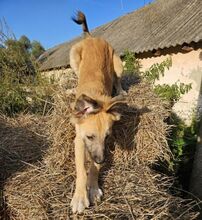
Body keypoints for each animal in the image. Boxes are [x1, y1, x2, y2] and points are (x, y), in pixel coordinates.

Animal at [70, 10, 125, 213]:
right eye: (89, 137)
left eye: (108, 137)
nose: (102, 160)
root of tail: (92, 38)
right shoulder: (78, 140)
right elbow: (81, 169)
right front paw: (80, 196)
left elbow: (93, 168)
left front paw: (93, 188)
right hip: (73, 57)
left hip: (118, 64)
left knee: (117, 78)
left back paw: (121, 91)